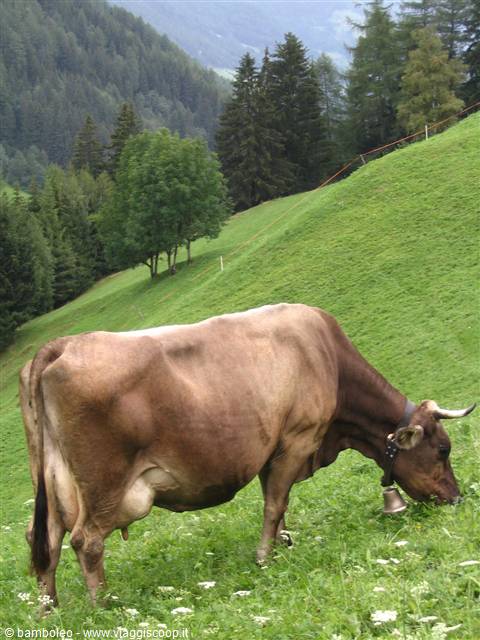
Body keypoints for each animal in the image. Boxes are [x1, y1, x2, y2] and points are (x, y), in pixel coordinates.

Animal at [20, 303, 475, 607]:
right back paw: (103, 607)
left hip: (53, 481)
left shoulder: (270, 450)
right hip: (106, 484)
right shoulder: (297, 438)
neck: (328, 358)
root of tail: (61, 345)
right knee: (87, 540)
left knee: (44, 540)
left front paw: (286, 545)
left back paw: (48, 610)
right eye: (443, 449)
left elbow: (280, 504)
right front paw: (264, 558)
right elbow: (275, 503)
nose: (457, 498)